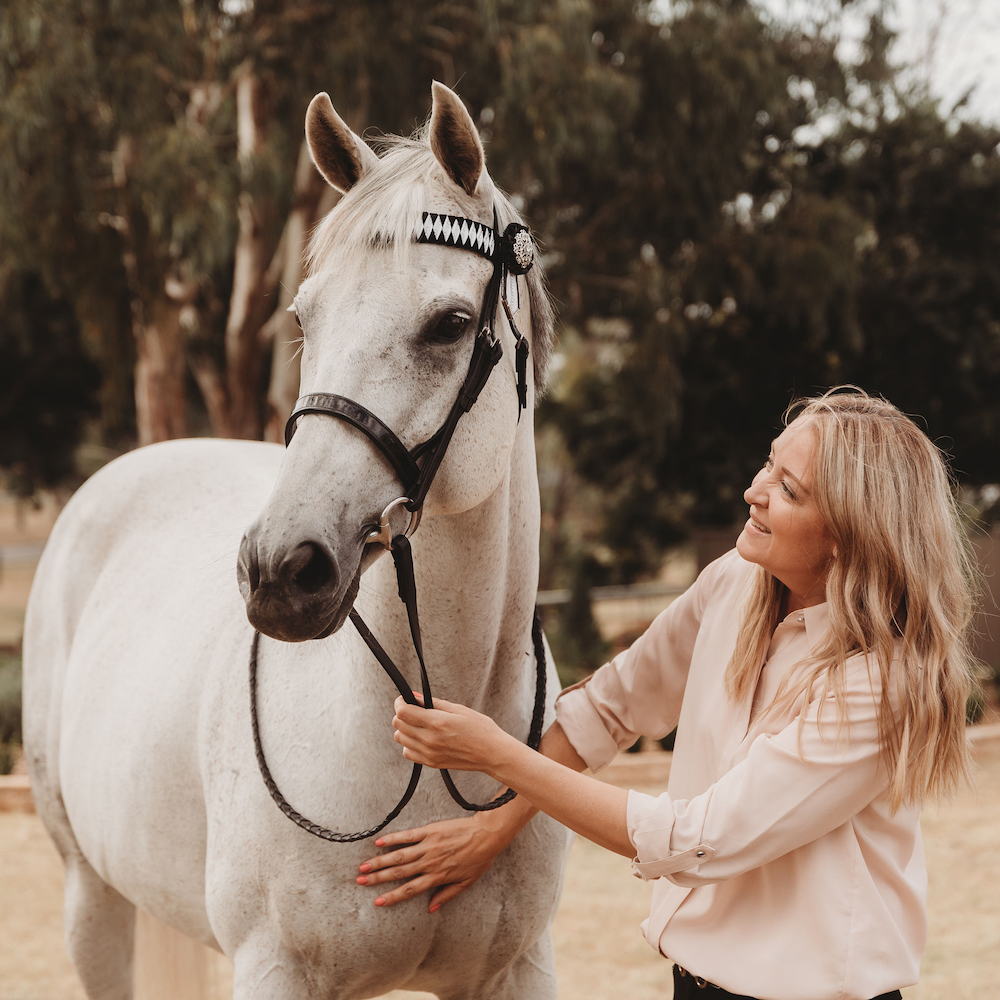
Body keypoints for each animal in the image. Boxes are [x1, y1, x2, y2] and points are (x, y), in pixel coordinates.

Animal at [23, 86, 568, 1000]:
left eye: (451, 324)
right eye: (306, 316)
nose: (280, 571)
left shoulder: (517, 969)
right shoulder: (274, 966)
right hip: (90, 900)